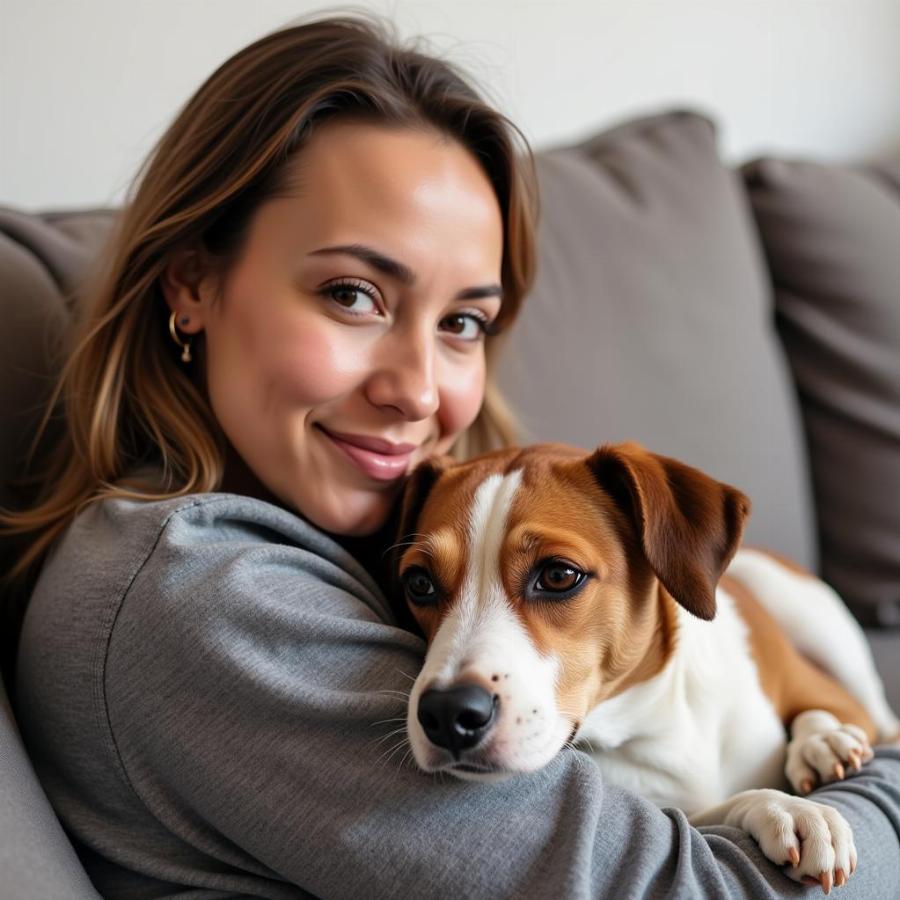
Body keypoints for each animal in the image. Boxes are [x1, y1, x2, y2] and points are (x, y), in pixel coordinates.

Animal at [394, 442, 900, 892]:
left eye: (558, 575)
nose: (446, 714)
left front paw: (823, 744)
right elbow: (704, 816)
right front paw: (786, 808)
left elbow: (822, 715)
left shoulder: (833, 697)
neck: (658, 717)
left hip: (810, 617)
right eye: (418, 583)